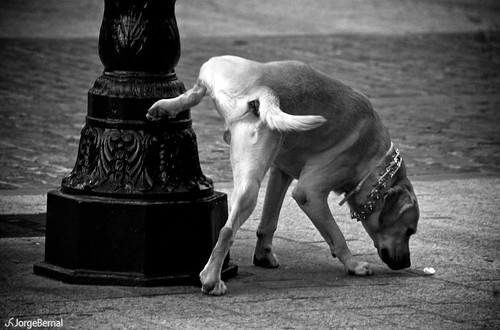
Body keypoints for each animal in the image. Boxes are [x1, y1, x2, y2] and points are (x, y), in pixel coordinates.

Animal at [146, 55, 420, 296]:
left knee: (195, 91)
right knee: (226, 231)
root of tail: (264, 91)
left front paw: (263, 255)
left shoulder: (280, 173)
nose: (407, 264)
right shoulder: (309, 194)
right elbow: (336, 235)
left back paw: (165, 107)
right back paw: (212, 280)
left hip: (247, 168)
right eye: (409, 231)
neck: (373, 159)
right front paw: (353, 265)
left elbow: (269, 221)